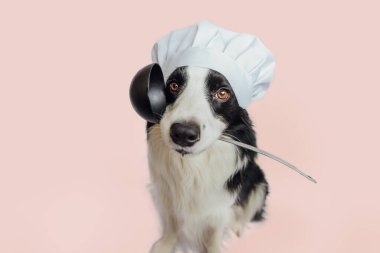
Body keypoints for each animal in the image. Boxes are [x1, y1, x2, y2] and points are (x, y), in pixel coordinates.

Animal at [145, 65, 268, 253]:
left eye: (222, 93)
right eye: (173, 85)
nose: (183, 134)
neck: (192, 166)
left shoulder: (221, 203)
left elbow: (214, 232)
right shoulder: (168, 193)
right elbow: (172, 221)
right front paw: (165, 245)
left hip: (260, 183)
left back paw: (238, 227)